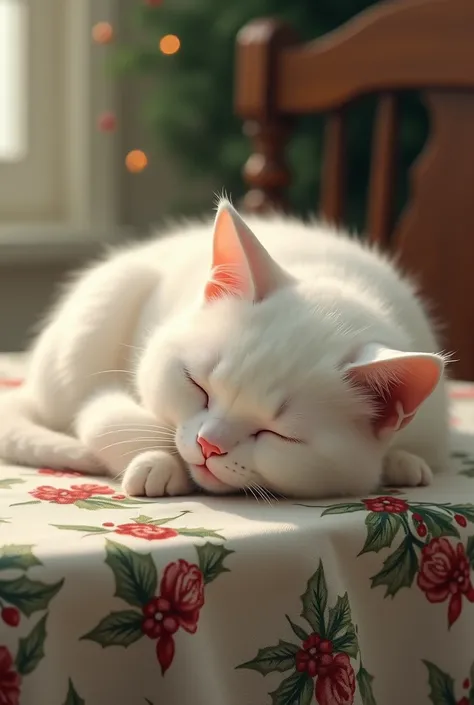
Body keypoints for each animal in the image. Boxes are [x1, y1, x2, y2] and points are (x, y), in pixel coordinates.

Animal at [0, 198, 448, 498]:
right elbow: (106, 420)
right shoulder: (107, 399)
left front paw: (402, 461)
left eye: (278, 434)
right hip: (106, 302)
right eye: (196, 386)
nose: (208, 445)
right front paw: (157, 462)